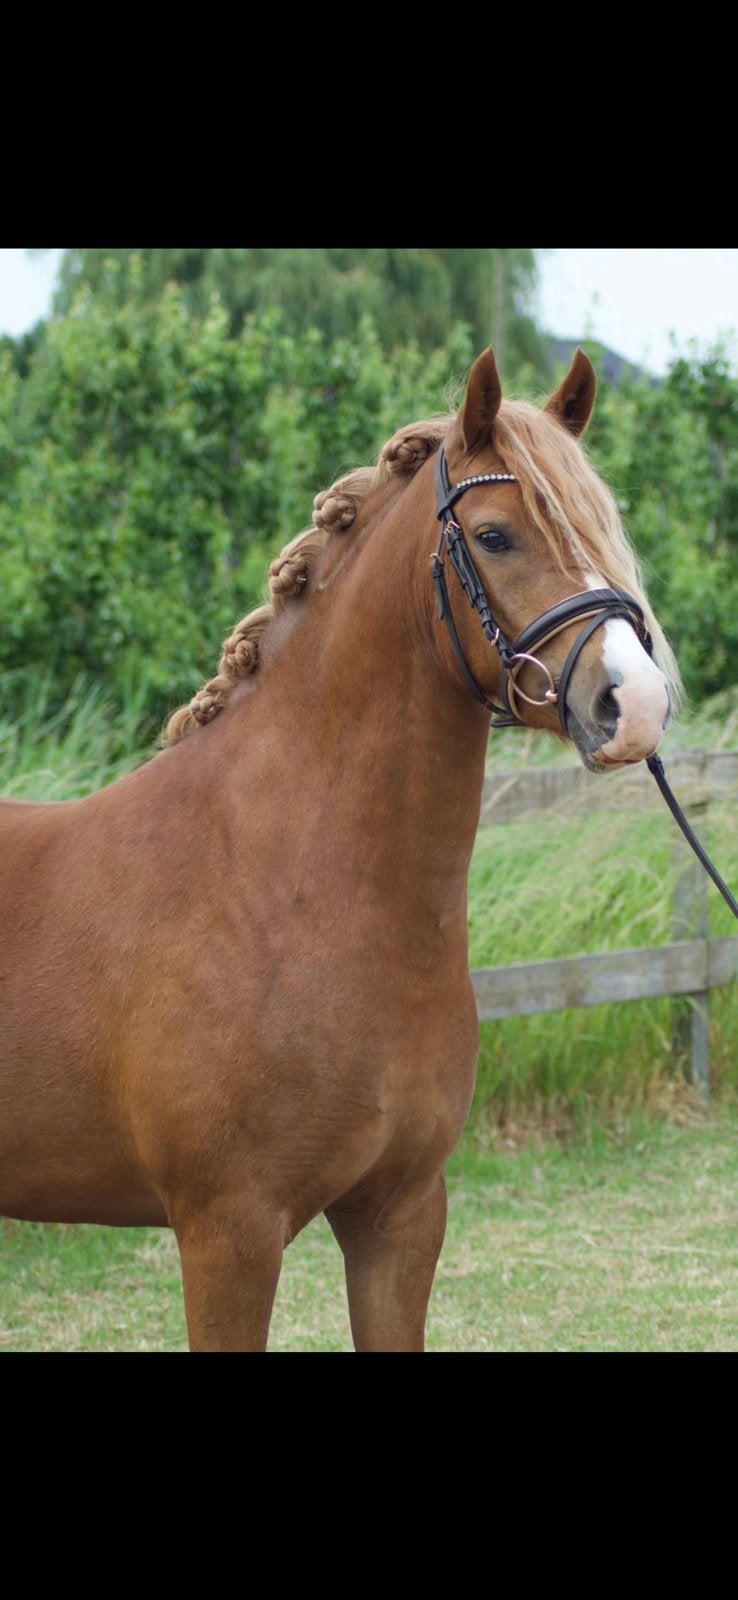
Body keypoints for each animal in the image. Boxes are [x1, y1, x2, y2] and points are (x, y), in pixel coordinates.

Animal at [0, 348, 680, 1352]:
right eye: (493, 536)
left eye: (603, 525)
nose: (633, 703)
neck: (289, 890)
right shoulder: (229, 1233)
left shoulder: (400, 1215)